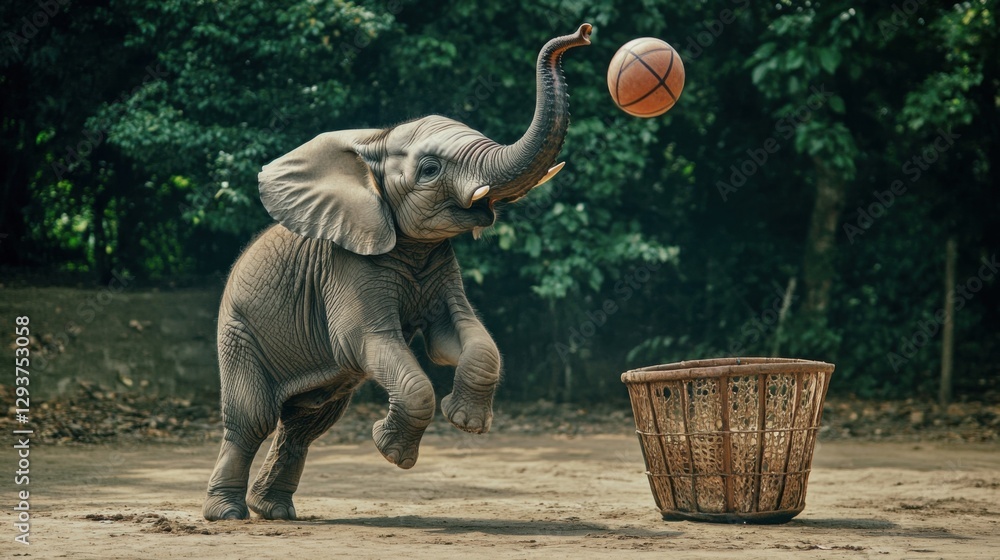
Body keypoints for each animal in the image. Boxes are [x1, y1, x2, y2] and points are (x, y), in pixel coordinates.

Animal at [203, 23, 592, 521]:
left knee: (305, 422)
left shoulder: (439, 264)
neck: (376, 144)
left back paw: (275, 511)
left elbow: (459, 338)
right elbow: (367, 342)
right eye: (429, 169)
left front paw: (466, 422)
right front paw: (392, 453)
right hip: (239, 331)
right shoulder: (347, 267)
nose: (582, 34)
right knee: (252, 420)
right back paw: (228, 514)